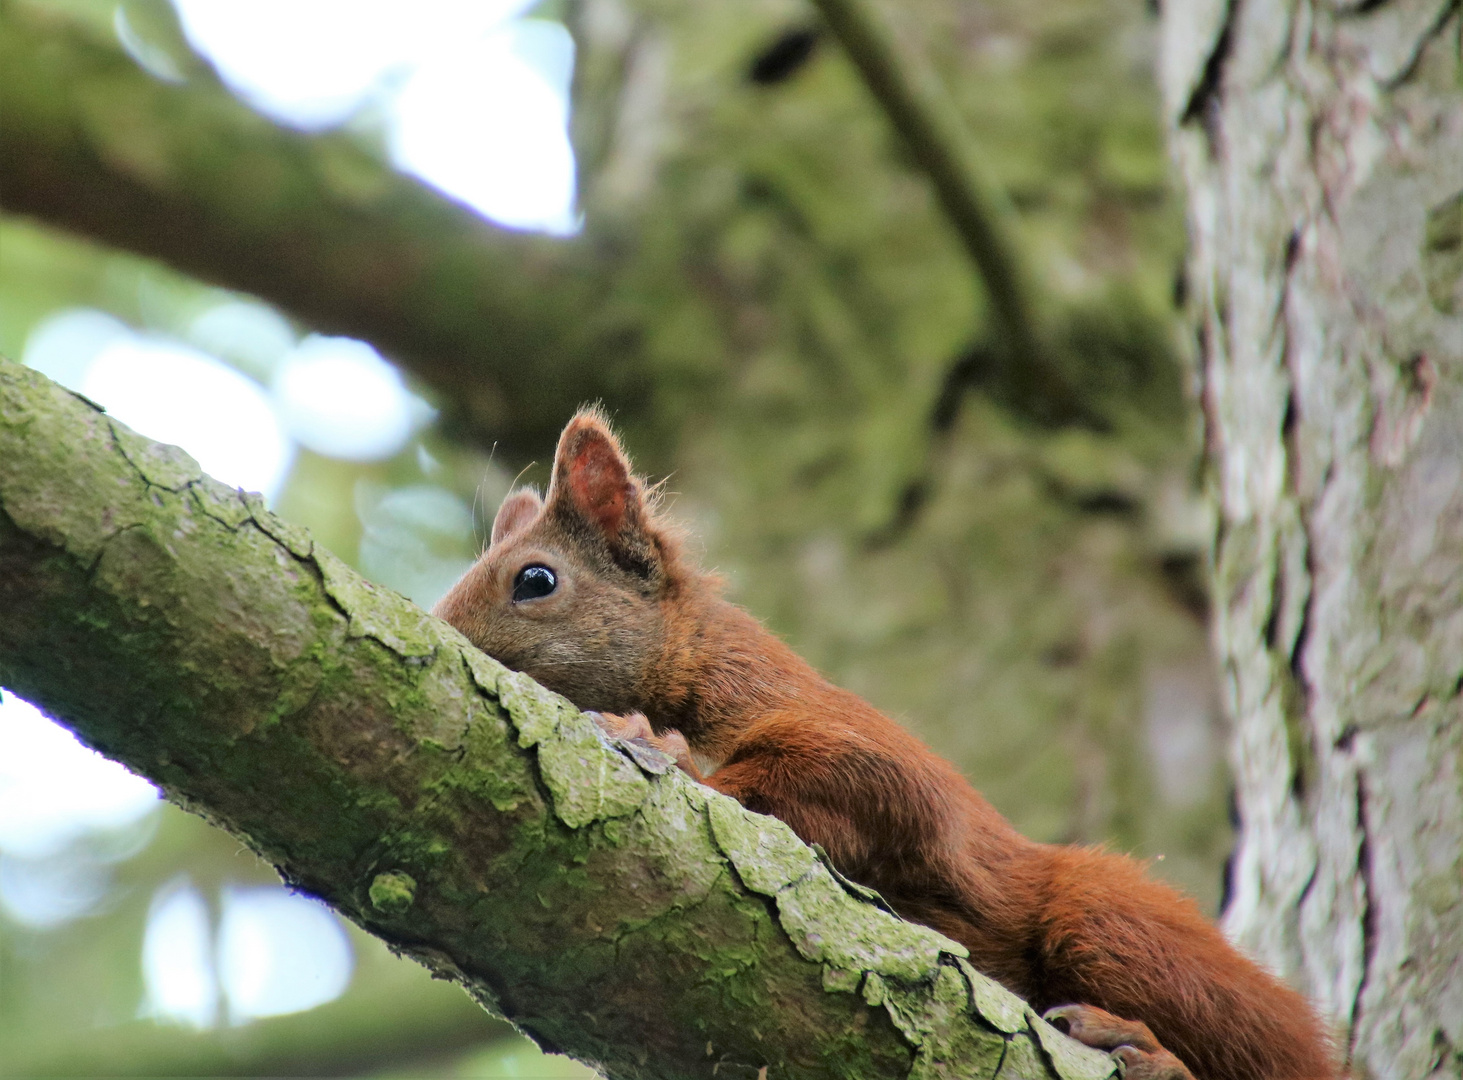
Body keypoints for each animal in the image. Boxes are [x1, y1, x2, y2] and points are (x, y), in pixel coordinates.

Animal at [433, 406, 1340, 1077]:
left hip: (1114, 925)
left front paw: (664, 749)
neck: (686, 671)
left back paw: (1145, 1049)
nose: (443, 629)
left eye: (536, 580)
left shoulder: (859, 749)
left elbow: (849, 788)